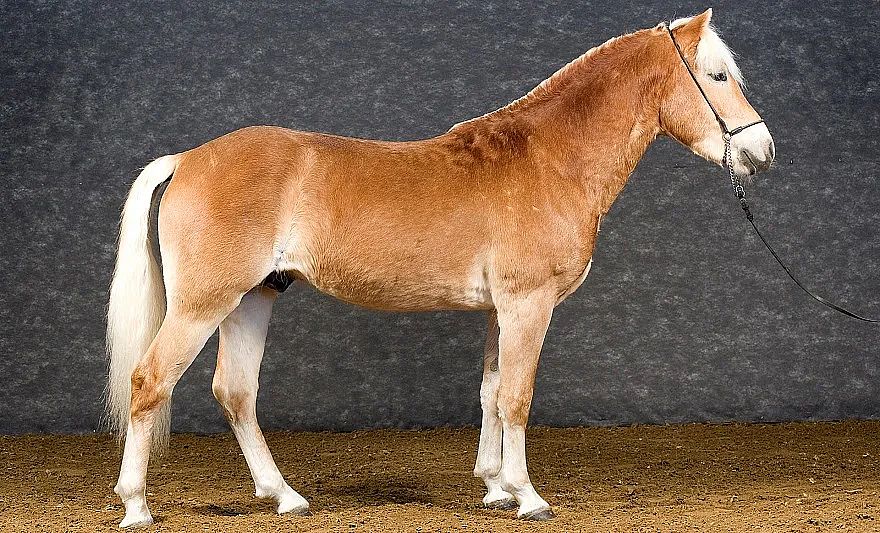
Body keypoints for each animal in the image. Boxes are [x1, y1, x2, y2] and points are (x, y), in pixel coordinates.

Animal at [106, 9, 774, 527]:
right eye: (717, 75)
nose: (760, 151)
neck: (548, 159)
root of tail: (188, 159)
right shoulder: (527, 305)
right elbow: (517, 396)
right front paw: (528, 496)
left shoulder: (500, 310)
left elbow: (490, 392)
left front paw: (495, 486)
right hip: (204, 304)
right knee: (150, 381)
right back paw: (136, 505)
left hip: (253, 299)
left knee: (236, 391)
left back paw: (284, 496)